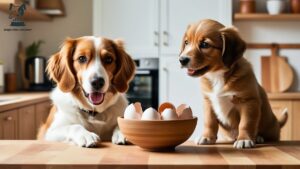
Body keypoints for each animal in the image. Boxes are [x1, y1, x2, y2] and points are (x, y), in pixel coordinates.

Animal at [179, 19, 288, 149]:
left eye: (205, 44)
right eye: (186, 42)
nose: (182, 60)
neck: (217, 76)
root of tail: (277, 123)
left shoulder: (248, 102)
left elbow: (246, 123)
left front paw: (244, 139)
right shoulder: (208, 101)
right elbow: (209, 122)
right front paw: (207, 137)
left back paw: (258, 137)